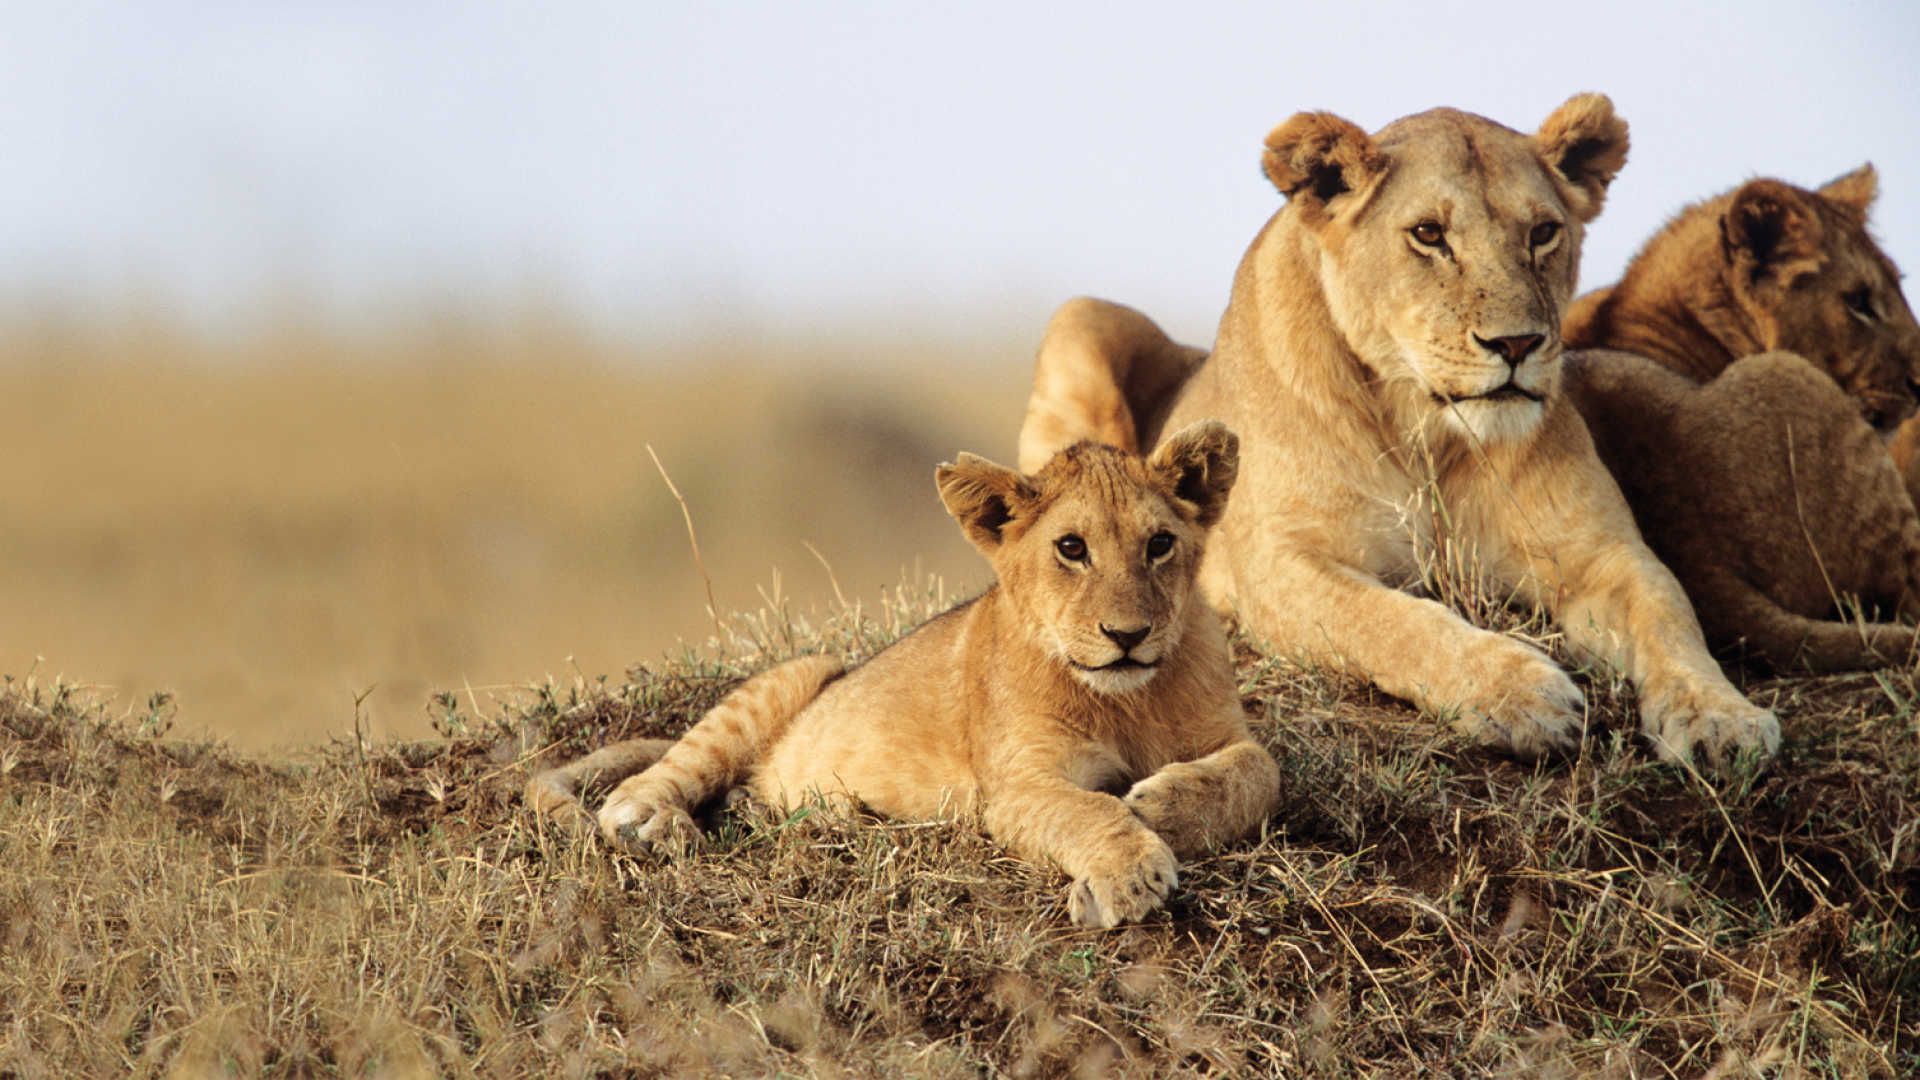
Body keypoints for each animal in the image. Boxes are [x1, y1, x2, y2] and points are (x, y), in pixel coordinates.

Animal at [526, 420, 1282, 926]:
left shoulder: (1226, 734)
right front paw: (1128, 871)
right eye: (1071, 548)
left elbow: (1260, 772)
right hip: (795, 674)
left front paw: (1164, 805)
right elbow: (1087, 809)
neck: (1129, 699)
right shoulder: (1016, 784)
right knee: (637, 786)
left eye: (1160, 544)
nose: (1127, 636)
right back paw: (660, 826)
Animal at [1013, 92, 1774, 764]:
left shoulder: (1603, 554)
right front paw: (1520, 693)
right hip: (1084, 317)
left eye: (1542, 233)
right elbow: (1392, 622)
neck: (1427, 434)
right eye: (1429, 235)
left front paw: (1722, 718)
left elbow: (1669, 615)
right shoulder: (1279, 564)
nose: (1518, 344)